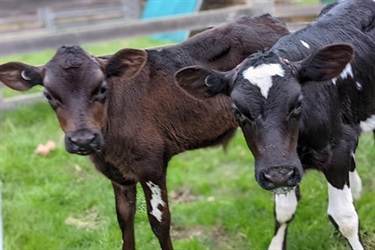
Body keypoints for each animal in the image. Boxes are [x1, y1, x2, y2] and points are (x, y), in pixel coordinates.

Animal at [0, 14, 290, 249]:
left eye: (102, 88)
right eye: (49, 96)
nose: (83, 139)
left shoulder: (151, 165)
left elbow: (159, 221)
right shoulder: (118, 174)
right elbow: (124, 217)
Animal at [176, 0, 375, 249]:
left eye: (298, 103)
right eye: (238, 112)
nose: (278, 175)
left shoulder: (336, 150)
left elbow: (345, 217)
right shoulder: (283, 164)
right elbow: (284, 211)